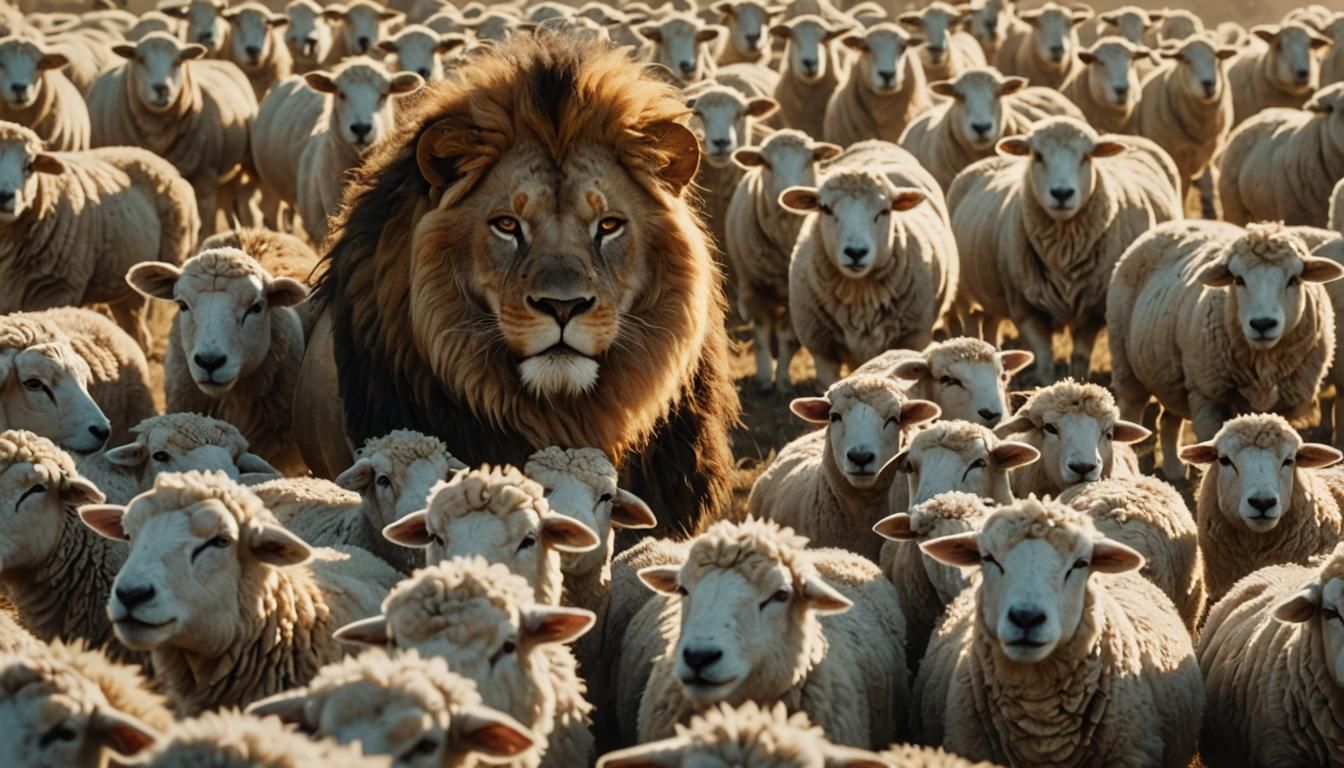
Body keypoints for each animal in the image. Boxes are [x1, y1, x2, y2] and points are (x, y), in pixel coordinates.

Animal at [90, 33, 257, 238]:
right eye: (140, 59)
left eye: (178, 61)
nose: (161, 88)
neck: (158, 134)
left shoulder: (206, 179)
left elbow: (207, 228)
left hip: (244, 166)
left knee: (247, 206)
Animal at [782, 140, 959, 388]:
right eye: (825, 208)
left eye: (884, 211)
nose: (856, 252)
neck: (859, 293)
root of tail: (874, 143)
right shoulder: (822, 350)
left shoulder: (913, 337)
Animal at [949, 116, 1182, 385]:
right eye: (1038, 155)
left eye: (1086, 157)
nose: (1062, 193)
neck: (1064, 249)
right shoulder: (1025, 309)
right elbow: (1045, 359)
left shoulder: (1093, 309)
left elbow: (1080, 358)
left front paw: (1079, 383)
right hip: (964, 292)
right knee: (971, 321)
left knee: (991, 322)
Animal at [1108, 221, 1342, 479]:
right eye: (1238, 280)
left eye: (1294, 279)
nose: (1262, 324)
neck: (1263, 363)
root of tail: (1172, 224)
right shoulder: (1207, 396)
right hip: (1126, 360)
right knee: (1131, 409)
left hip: (1173, 375)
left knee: (1169, 419)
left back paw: (1174, 470)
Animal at [1130, 35, 1237, 219]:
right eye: (1185, 59)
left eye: (1216, 57)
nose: (1208, 84)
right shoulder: (1178, 164)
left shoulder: (1201, 159)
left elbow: (1206, 187)